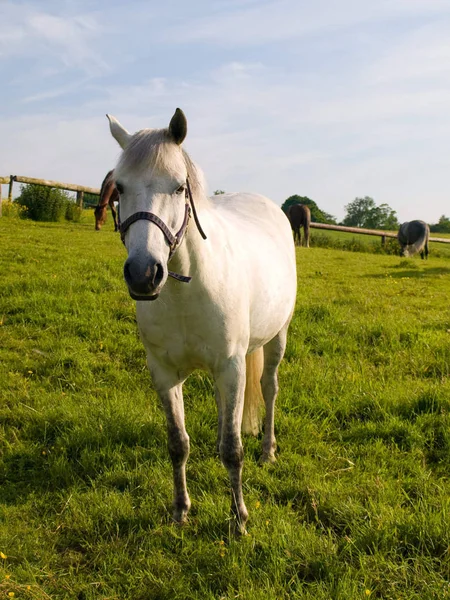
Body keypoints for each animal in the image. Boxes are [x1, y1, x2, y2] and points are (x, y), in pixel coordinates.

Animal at [107, 108, 298, 536]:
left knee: (270, 388)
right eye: (120, 187)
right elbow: (178, 442)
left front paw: (239, 518)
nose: (144, 274)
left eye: (180, 187)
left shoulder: (231, 365)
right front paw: (181, 509)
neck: (186, 290)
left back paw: (269, 450)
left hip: (276, 339)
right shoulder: (164, 372)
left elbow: (233, 449)